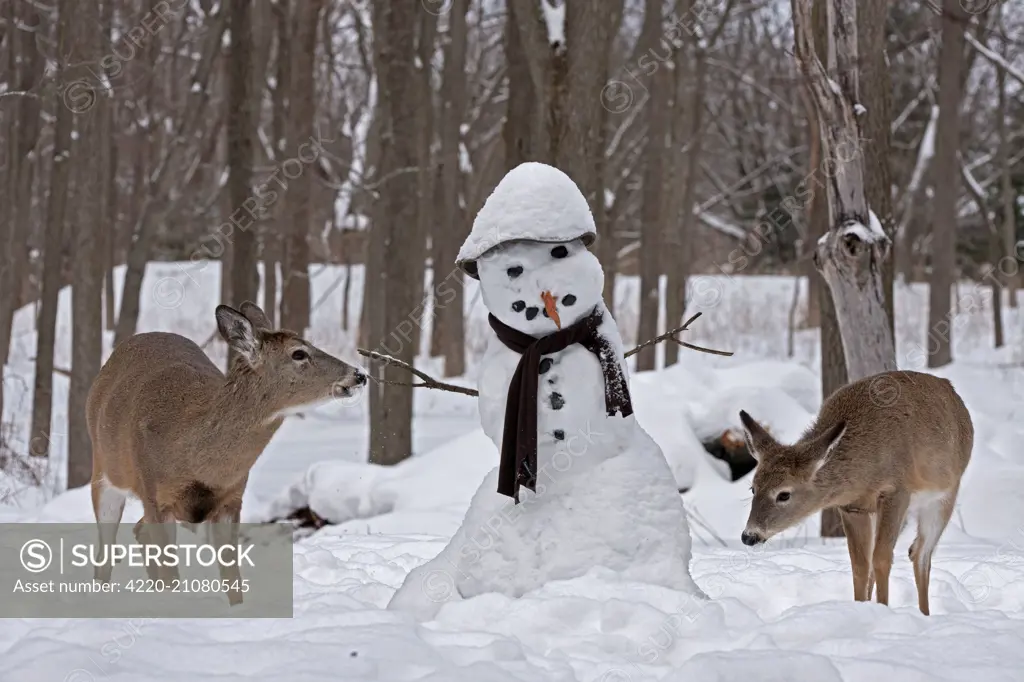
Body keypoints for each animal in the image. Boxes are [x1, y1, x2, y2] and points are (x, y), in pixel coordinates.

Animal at [86, 301, 368, 602]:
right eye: (299, 353)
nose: (359, 374)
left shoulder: (232, 499)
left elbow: (232, 579)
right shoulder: (155, 495)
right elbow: (171, 575)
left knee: (138, 531)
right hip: (103, 472)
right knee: (105, 550)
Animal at [741, 368, 970, 614]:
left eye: (784, 494)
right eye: (753, 488)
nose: (749, 536)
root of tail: (951, 390)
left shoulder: (896, 491)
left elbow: (881, 558)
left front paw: (882, 609)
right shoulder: (852, 507)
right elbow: (860, 565)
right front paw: (861, 608)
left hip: (945, 495)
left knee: (921, 554)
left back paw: (924, 614)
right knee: (908, 551)